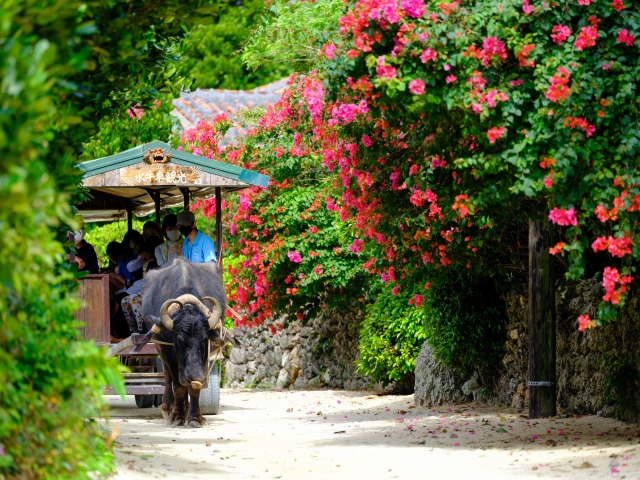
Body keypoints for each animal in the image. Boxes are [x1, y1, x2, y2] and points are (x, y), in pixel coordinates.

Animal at [141, 258, 240, 428]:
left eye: (204, 340)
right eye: (180, 340)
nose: (197, 374)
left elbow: (193, 386)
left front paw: (195, 417)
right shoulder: (168, 349)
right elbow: (178, 385)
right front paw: (177, 416)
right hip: (159, 347)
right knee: (168, 374)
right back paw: (168, 407)